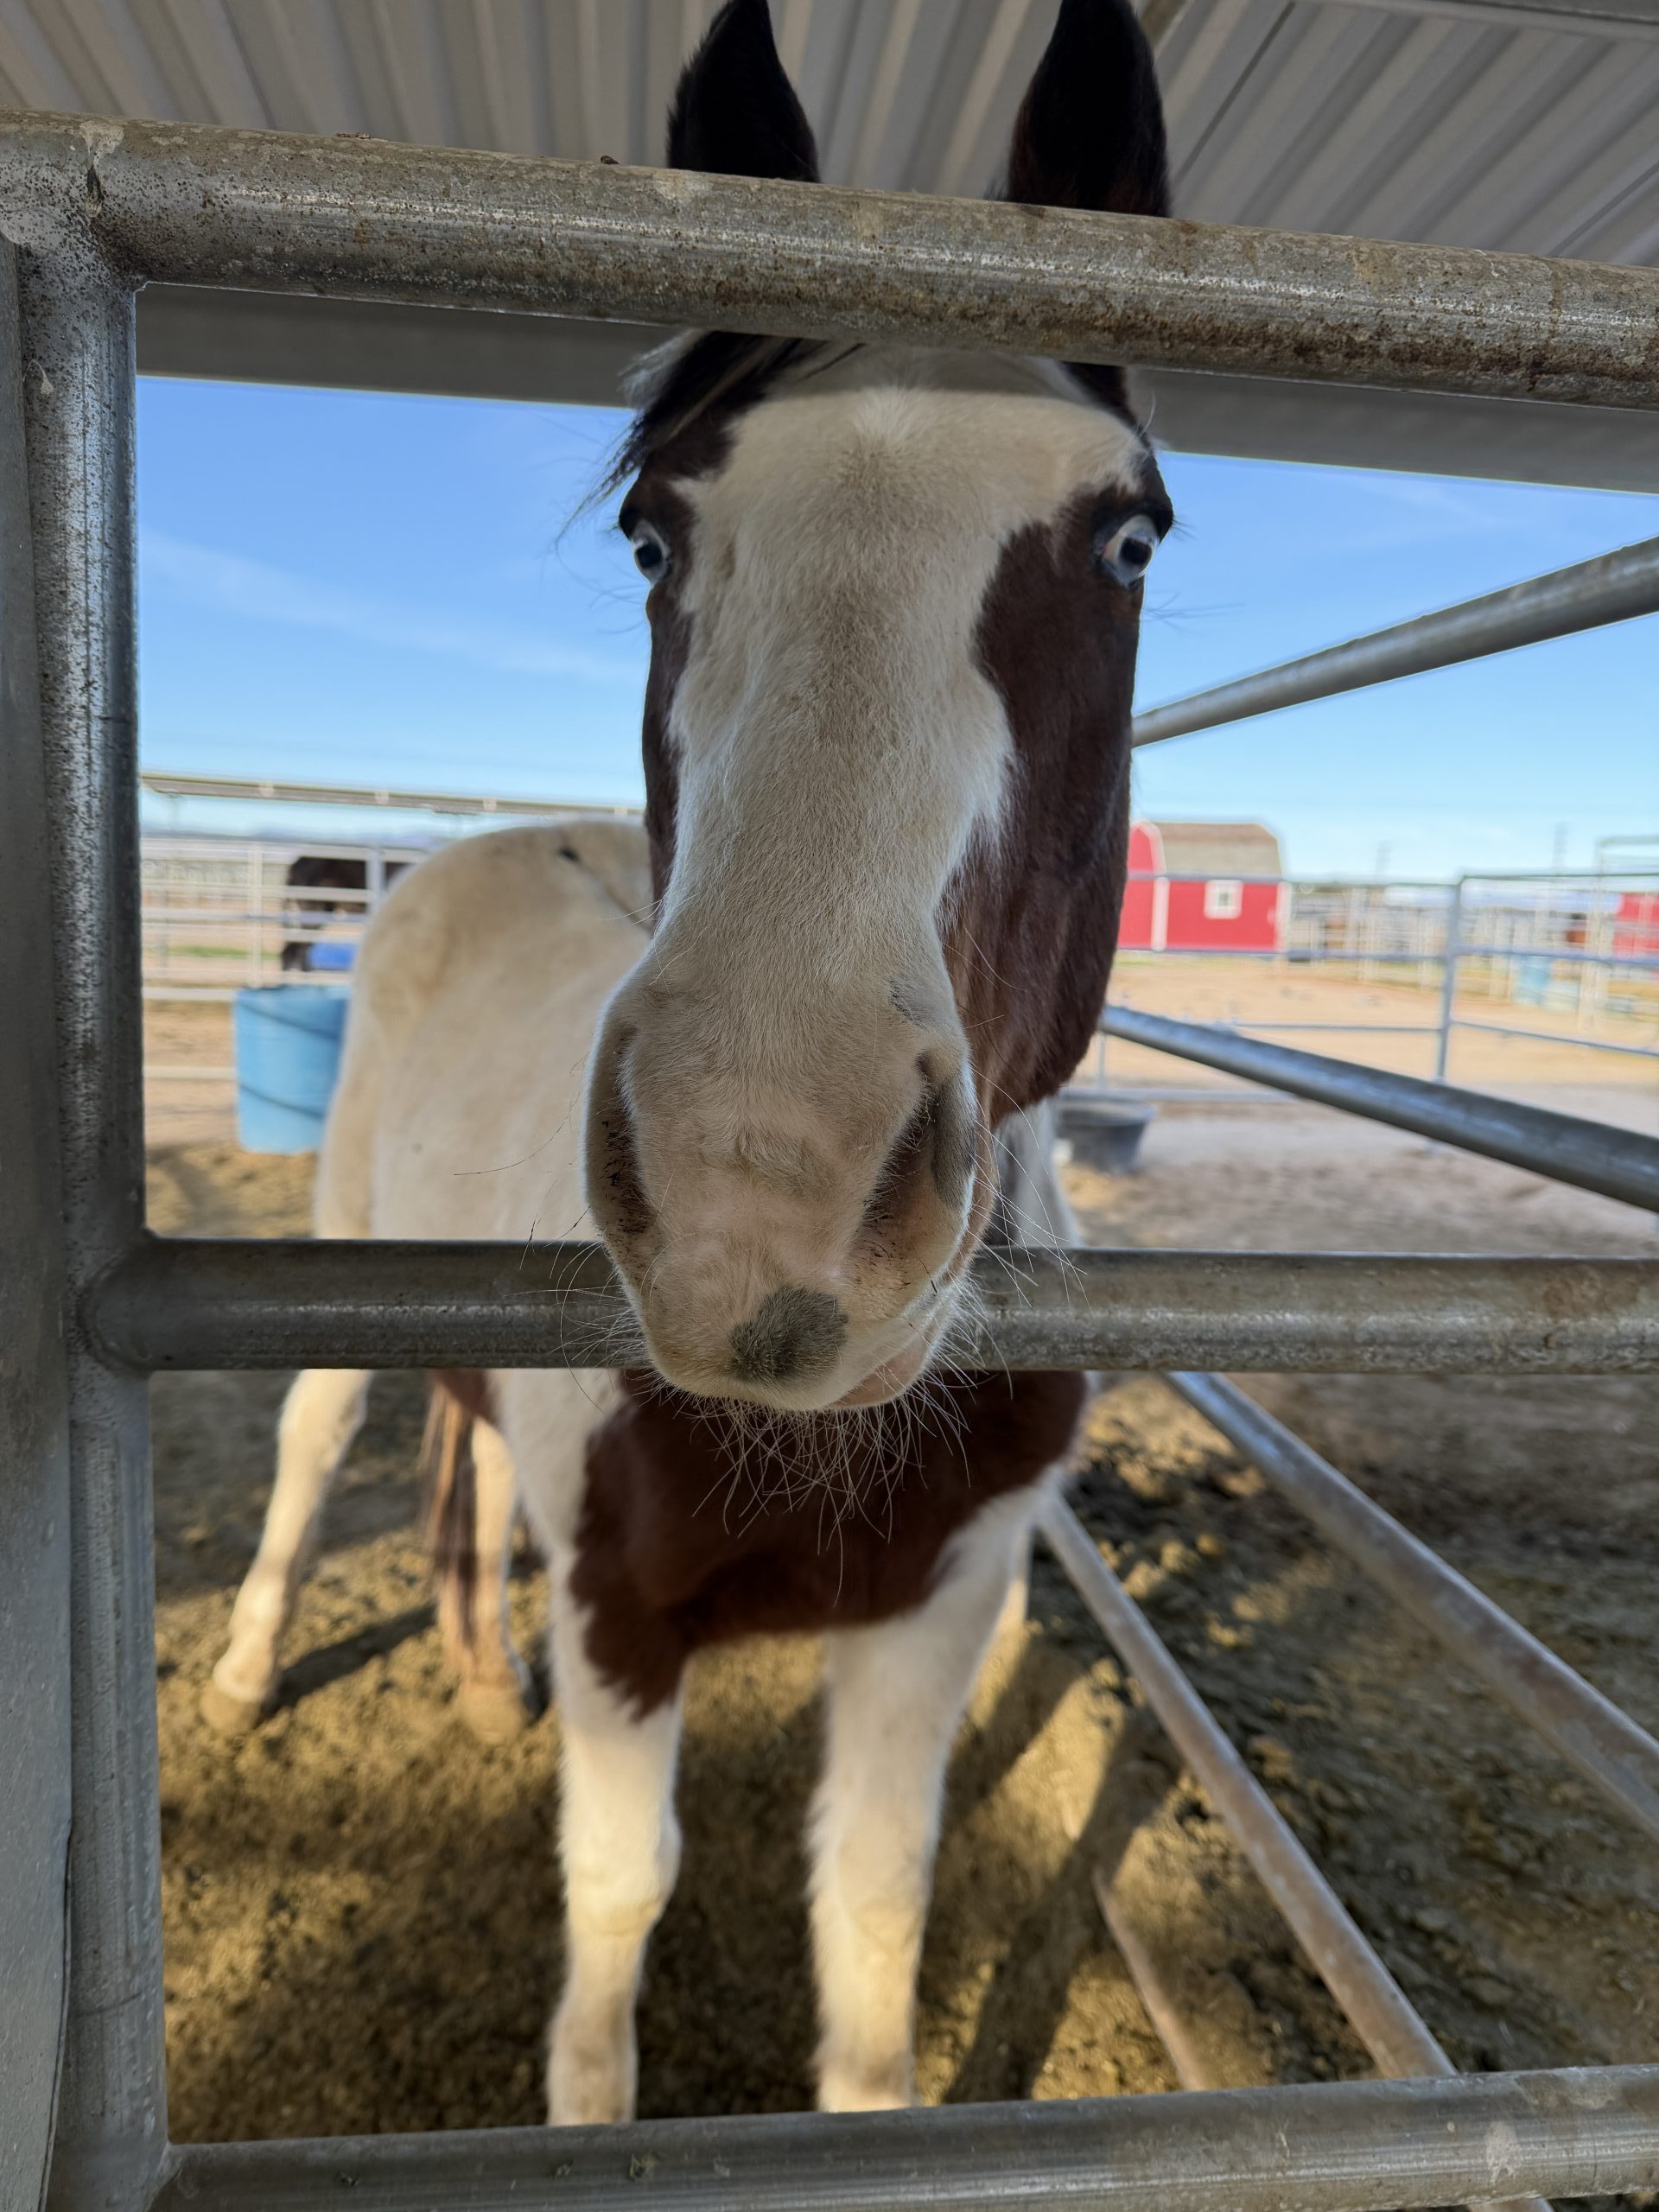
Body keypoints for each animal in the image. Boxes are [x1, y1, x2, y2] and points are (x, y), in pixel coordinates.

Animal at [204, 0, 1174, 2124]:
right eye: (659, 523)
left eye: (1131, 533)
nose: (764, 1202)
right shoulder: (629, 1617)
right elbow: (621, 1889)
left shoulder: (932, 1616)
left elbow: (877, 1910)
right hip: (333, 1254)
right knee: (315, 1440)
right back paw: (237, 1669)